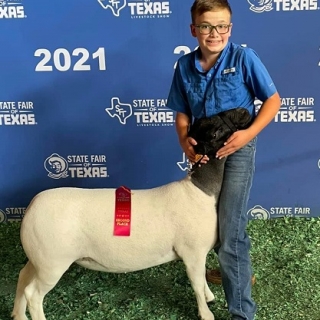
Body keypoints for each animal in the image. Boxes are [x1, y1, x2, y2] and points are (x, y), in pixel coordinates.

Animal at [11, 107, 252, 320]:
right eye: (216, 130)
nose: (244, 111)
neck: (202, 190)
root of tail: (31, 208)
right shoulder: (192, 252)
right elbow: (196, 282)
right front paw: (206, 312)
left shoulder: (198, 254)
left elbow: (202, 281)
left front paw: (209, 296)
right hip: (53, 262)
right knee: (33, 294)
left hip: (39, 257)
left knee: (22, 277)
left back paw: (18, 315)